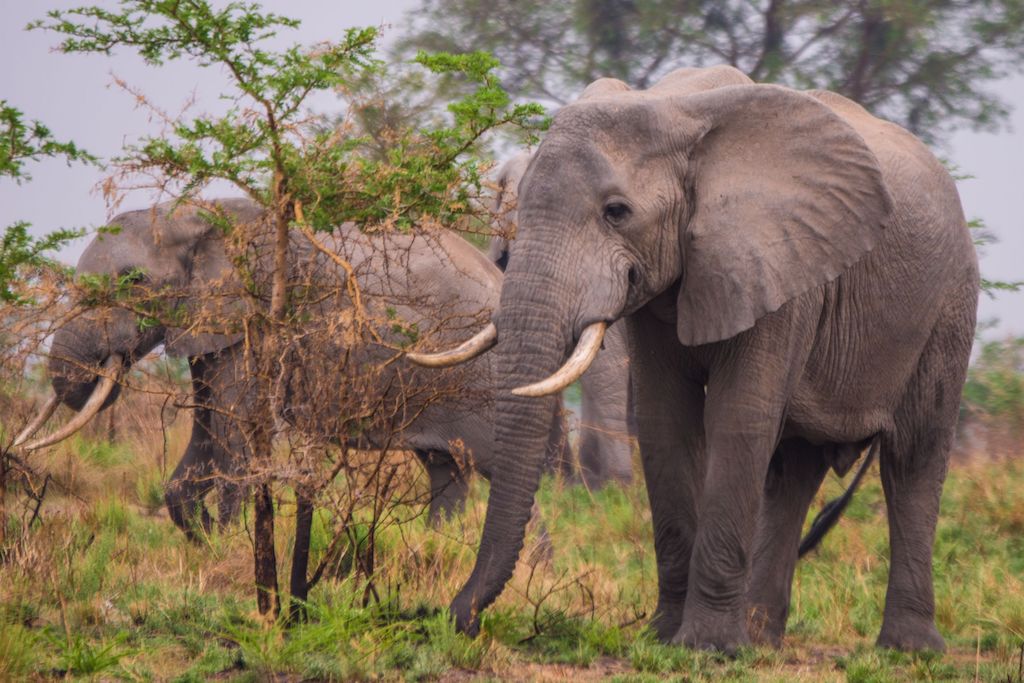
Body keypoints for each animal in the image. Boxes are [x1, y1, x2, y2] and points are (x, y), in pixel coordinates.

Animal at [29, 200, 569, 536]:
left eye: (134, 281)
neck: (197, 214)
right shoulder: (214, 329)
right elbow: (207, 428)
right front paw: (205, 537)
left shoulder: (257, 317)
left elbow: (234, 432)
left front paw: (229, 545)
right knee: (446, 471)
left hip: (488, 380)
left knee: (501, 474)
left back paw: (528, 583)